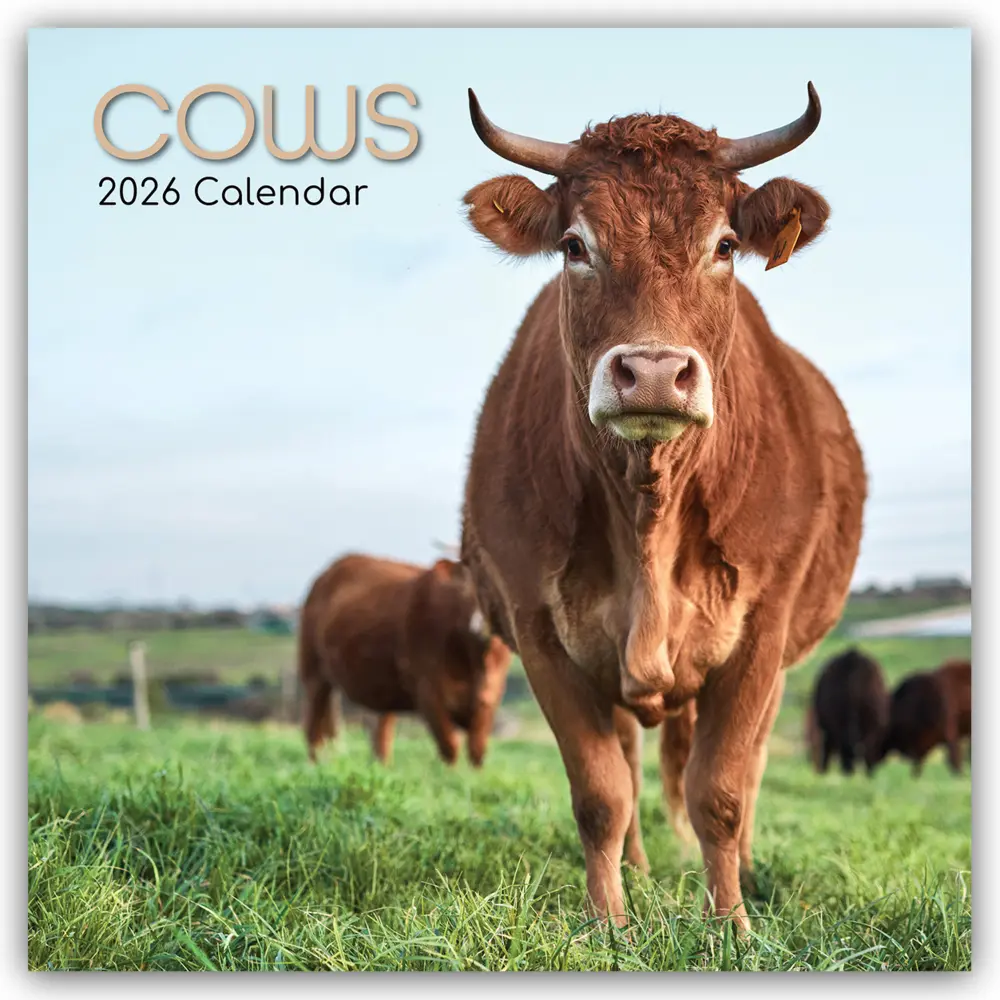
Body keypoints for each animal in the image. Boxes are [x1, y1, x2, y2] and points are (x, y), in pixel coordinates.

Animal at [297, 553, 512, 766]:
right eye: (469, 585)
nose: (481, 624)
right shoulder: (428, 692)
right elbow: (450, 748)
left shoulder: (489, 697)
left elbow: (477, 751)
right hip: (314, 673)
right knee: (313, 730)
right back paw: (315, 766)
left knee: (380, 735)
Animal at [458, 84, 866, 931]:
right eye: (574, 246)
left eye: (724, 245)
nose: (651, 372)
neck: (649, 506)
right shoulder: (540, 630)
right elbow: (601, 793)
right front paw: (609, 923)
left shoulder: (762, 632)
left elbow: (721, 792)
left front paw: (731, 926)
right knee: (633, 762)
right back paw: (641, 872)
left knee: (746, 766)